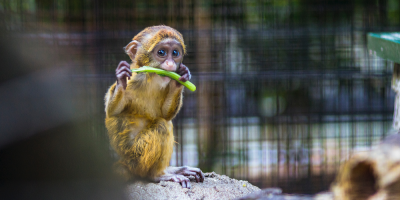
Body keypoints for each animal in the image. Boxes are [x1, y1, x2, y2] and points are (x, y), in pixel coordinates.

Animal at [104, 24, 205, 188]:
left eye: (175, 53)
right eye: (161, 52)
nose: (170, 64)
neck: (151, 78)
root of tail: (125, 163)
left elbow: (165, 114)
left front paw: (181, 77)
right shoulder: (134, 78)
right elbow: (113, 112)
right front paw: (121, 79)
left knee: (165, 122)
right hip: (137, 157)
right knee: (162, 126)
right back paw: (156, 175)